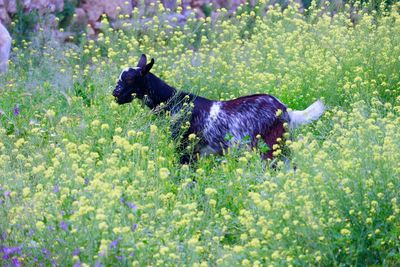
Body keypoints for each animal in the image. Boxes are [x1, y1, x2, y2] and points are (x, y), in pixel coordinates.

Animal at [112, 54, 324, 163]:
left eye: (130, 79)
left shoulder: (187, 150)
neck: (174, 102)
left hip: (270, 148)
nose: (115, 94)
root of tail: (285, 110)